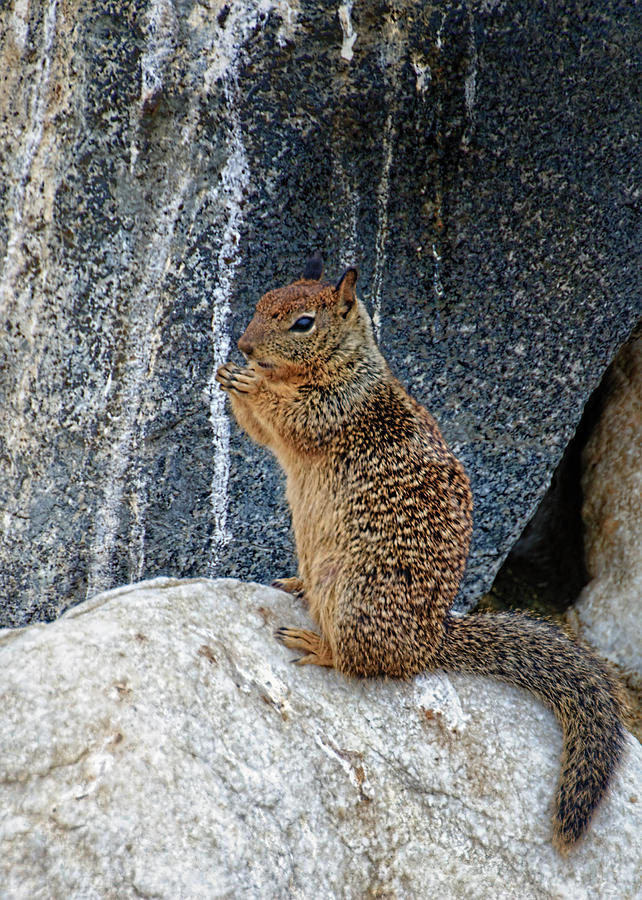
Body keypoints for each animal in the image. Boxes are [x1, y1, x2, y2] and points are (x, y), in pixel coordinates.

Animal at [214, 253, 620, 852]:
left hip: (357, 602)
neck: (346, 365)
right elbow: (261, 433)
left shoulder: (333, 409)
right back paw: (296, 584)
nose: (242, 344)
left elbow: (289, 417)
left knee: (361, 663)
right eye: (264, 299)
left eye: (303, 323)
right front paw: (226, 374)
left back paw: (315, 642)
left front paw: (248, 381)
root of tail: (431, 643)